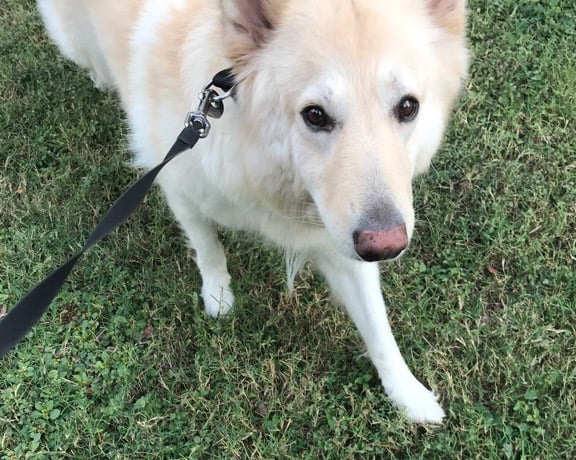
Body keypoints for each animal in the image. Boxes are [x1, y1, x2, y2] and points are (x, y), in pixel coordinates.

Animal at [35, 0, 468, 422]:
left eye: (407, 107)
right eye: (315, 115)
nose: (387, 247)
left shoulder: (342, 236)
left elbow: (377, 324)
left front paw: (408, 393)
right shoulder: (179, 186)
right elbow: (207, 246)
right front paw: (218, 294)